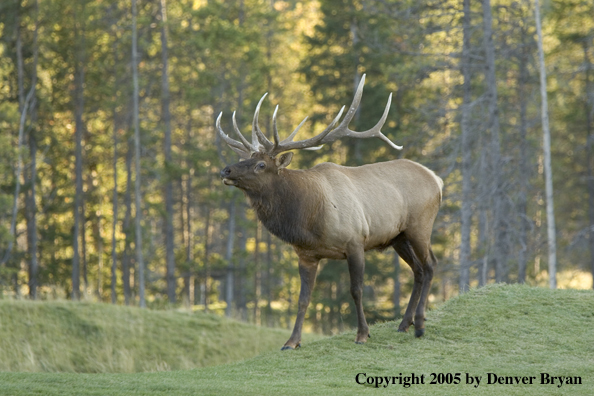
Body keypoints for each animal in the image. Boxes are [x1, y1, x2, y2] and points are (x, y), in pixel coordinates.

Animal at [217, 75, 440, 350]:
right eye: (244, 158)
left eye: (260, 164)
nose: (226, 170)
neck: (310, 219)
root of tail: (436, 179)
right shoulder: (306, 255)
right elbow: (303, 298)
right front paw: (291, 341)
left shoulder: (355, 241)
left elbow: (356, 290)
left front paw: (362, 334)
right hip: (399, 236)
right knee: (417, 270)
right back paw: (404, 323)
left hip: (421, 225)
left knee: (430, 265)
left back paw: (419, 324)